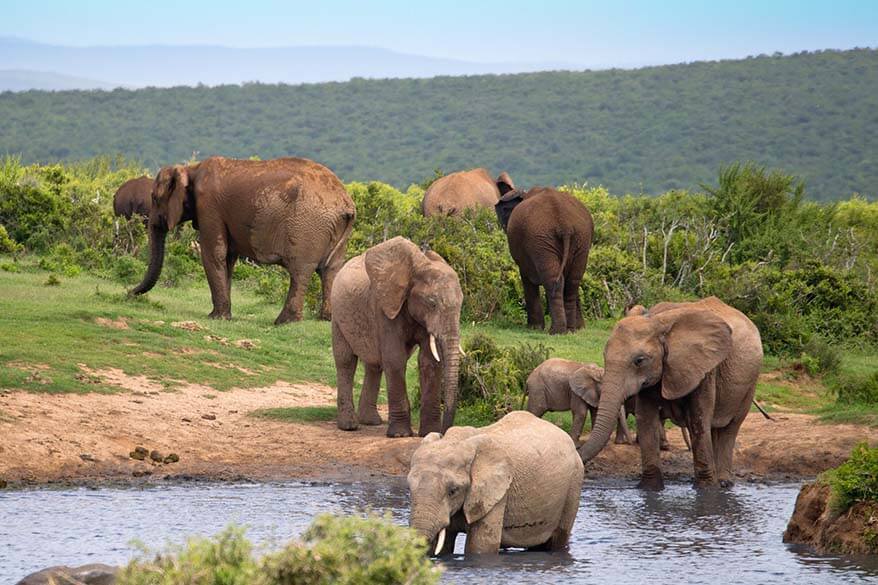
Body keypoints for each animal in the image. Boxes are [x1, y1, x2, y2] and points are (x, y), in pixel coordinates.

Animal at [129, 155, 356, 324]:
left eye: (155, 198)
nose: (128, 294)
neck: (190, 169)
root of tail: (346, 203)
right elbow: (228, 258)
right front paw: (224, 316)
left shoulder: (209, 207)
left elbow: (213, 254)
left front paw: (216, 318)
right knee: (330, 270)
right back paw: (326, 320)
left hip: (307, 226)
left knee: (300, 271)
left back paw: (283, 322)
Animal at [332, 235, 468, 436]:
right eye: (432, 303)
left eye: (461, 305)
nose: (445, 432)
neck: (418, 267)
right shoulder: (384, 306)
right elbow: (395, 358)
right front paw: (399, 434)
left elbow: (429, 362)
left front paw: (429, 433)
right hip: (337, 316)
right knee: (346, 362)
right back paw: (349, 426)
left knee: (374, 365)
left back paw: (371, 421)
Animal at [408, 408, 584, 556]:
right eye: (410, 489)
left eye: (453, 491)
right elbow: (445, 545)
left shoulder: (497, 493)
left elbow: (480, 546)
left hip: (574, 482)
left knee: (558, 539)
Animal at [498, 187, 596, 334]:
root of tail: (565, 226)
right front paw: (580, 328)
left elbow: (526, 279)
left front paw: (534, 328)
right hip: (580, 239)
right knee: (572, 282)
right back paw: (570, 330)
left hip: (541, 241)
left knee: (554, 281)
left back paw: (557, 331)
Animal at [576, 296, 764, 488]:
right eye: (604, 356)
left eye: (639, 360)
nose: (578, 454)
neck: (657, 322)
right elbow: (646, 419)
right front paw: (650, 488)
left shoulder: (704, 368)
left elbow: (698, 420)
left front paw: (706, 489)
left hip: (750, 381)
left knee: (730, 428)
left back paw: (724, 483)